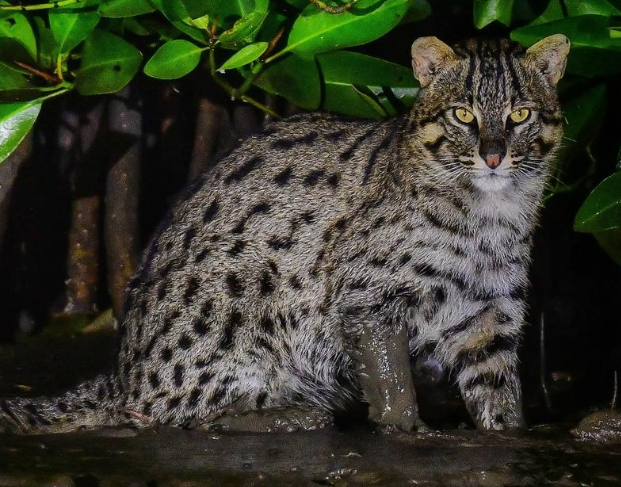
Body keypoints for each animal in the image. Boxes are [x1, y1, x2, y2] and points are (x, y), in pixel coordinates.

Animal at [0, 36, 568, 436]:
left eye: (520, 114)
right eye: (463, 114)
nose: (493, 156)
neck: (490, 215)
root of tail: (119, 374)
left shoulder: (491, 314)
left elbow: (500, 395)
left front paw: (509, 434)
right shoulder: (366, 294)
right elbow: (391, 380)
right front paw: (407, 430)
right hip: (239, 287)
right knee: (165, 411)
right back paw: (295, 415)